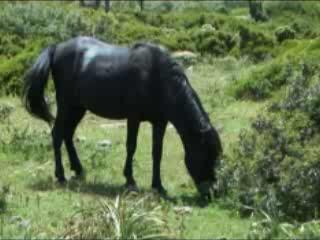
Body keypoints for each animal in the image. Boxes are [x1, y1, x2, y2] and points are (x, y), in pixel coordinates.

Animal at [22, 36, 222, 197]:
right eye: (206, 154)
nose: (212, 193)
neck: (157, 76)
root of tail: (56, 48)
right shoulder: (133, 118)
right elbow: (131, 147)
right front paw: (130, 180)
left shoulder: (160, 122)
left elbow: (157, 152)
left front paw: (158, 186)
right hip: (66, 106)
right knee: (57, 134)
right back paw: (61, 175)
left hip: (78, 108)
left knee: (67, 135)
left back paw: (78, 170)